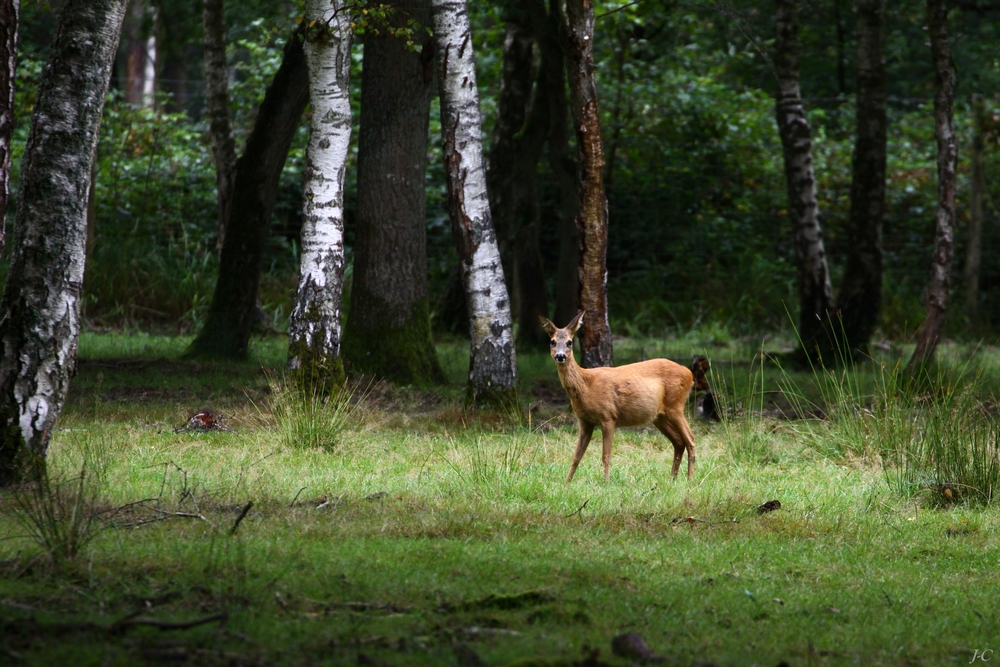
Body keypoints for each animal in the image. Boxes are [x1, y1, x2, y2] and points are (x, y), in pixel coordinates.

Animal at [540, 310, 696, 482]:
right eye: (552, 342)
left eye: (569, 342)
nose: (560, 356)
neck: (586, 386)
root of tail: (690, 374)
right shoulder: (585, 421)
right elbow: (576, 456)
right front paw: (567, 482)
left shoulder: (608, 416)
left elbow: (606, 455)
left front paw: (606, 482)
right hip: (659, 416)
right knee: (679, 441)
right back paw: (672, 478)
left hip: (675, 405)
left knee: (691, 439)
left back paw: (689, 479)